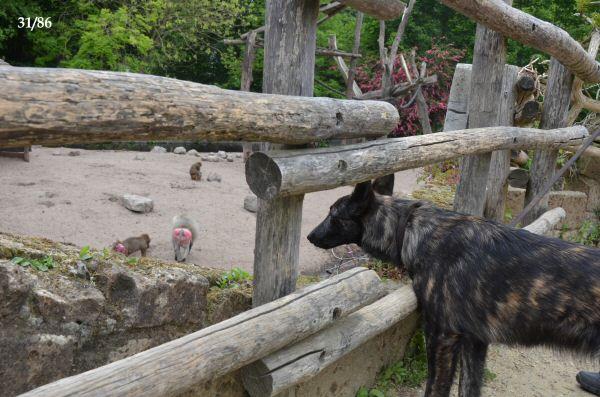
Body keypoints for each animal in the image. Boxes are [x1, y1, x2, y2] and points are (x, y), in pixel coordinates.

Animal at [310, 179, 600, 396]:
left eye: (333, 215)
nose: (310, 236)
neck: (412, 229)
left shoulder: (442, 337)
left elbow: (435, 389)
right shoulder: (475, 342)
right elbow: (469, 389)